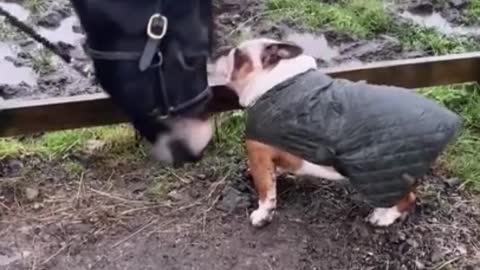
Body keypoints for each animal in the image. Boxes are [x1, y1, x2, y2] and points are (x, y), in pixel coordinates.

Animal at [214, 38, 416, 228]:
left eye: (238, 55)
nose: (221, 51)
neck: (274, 81)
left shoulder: (258, 153)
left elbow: (265, 190)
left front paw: (262, 215)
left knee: (406, 198)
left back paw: (382, 218)